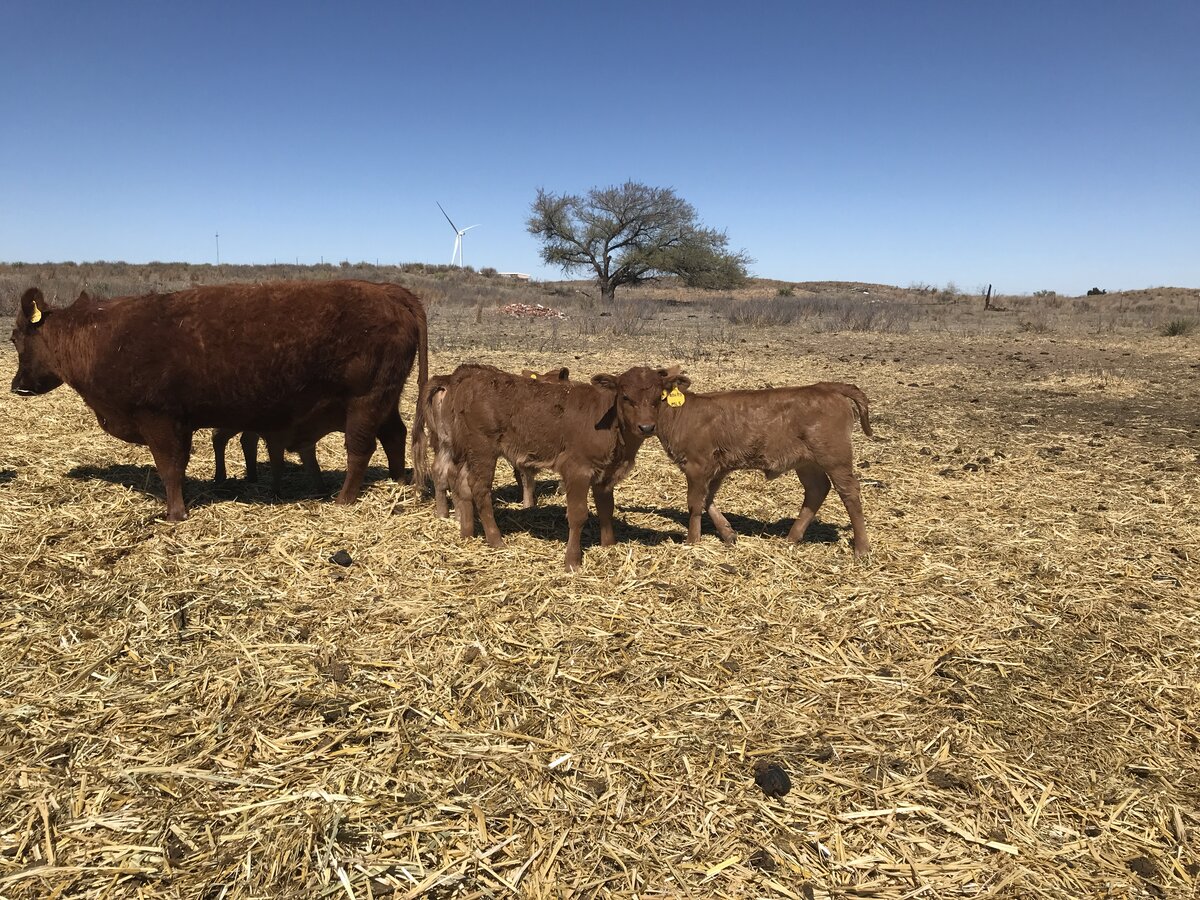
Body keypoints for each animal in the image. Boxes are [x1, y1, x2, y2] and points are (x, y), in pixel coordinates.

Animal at [10, 280, 428, 520]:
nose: (17, 386)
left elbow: (170, 468)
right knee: (394, 435)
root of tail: (390, 291)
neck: (99, 337)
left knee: (360, 449)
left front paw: (175, 513)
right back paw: (397, 481)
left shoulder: (159, 419)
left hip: (365, 402)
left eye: (15, 338)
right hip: (385, 400)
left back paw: (343, 500)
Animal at [422, 365, 570, 517]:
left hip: (445, 444)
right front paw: (530, 505)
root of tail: (447, 379)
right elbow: (527, 479)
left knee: (439, 471)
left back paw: (443, 513)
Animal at [438, 364, 673, 570]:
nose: (647, 427)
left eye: (659, 398)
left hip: (467, 452)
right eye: (625, 397)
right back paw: (496, 540)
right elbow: (578, 514)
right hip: (482, 450)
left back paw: (467, 533)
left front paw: (609, 546)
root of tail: (473, 373)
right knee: (479, 489)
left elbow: (606, 509)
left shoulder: (605, 474)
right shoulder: (577, 469)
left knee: (460, 484)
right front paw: (572, 561)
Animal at [653, 375, 873, 557]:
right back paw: (792, 538)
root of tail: (824, 387)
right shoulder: (717, 468)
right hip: (807, 463)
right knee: (817, 489)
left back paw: (862, 548)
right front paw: (728, 534)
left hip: (835, 459)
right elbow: (706, 499)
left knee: (849, 492)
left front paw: (692, 541)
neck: (683, 414)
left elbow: (695, 502)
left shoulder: (697, 467)